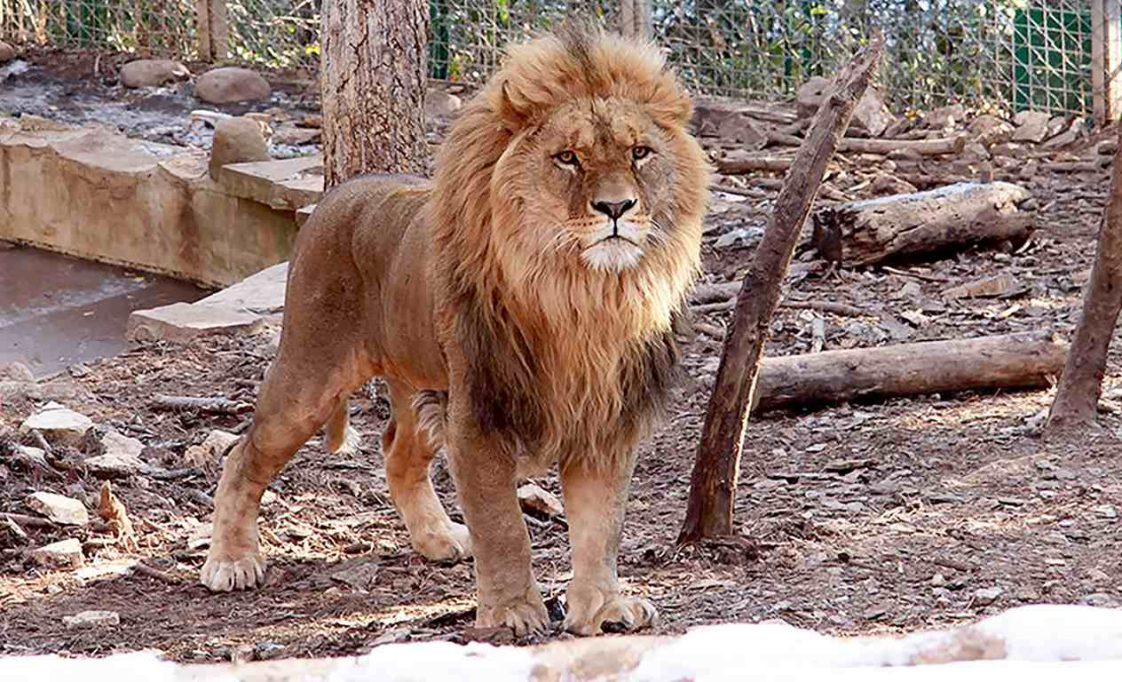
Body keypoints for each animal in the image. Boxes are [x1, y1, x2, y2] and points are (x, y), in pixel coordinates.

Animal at [199, 24, 709, 637]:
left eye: (639, 153)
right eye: (567, 157)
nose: (617, 206)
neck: (581, 295)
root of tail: (338, 193)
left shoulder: (605, 421)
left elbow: (601, 527)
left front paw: (604, 609)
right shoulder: (477, 415)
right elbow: (503, 526)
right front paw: (511, 612)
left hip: (423, 387)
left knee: (396, 453)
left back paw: (439, 538)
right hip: (310, 375)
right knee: (244, 453)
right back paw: (230, 561)